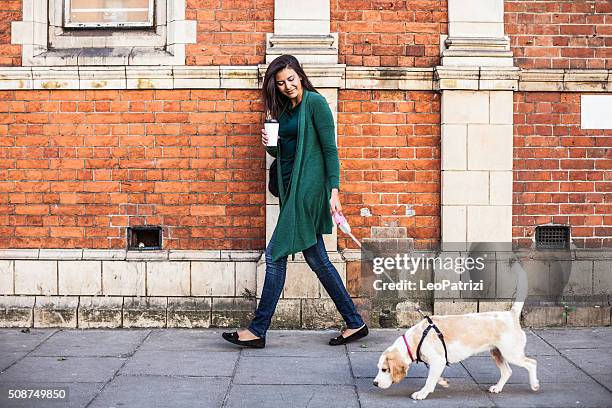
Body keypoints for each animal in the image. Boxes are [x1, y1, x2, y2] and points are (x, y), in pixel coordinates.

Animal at [372, 262, 540, 398]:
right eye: (379, 368)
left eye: (385, 370)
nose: (374, 383)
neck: (416, 339)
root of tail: (511, 314)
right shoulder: (436, 364)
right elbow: (434, 377)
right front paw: (442, 382)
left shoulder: (438, 360)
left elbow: (429, 380)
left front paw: (422, 393)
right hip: (497, 353)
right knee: (507, 371)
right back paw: (497, 388)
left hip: (511, 353)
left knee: (531, 363)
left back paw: (534, 384)